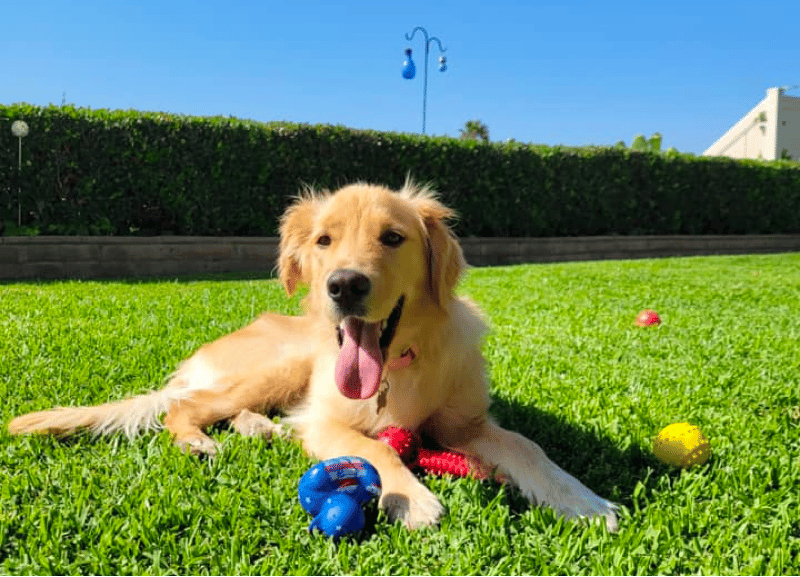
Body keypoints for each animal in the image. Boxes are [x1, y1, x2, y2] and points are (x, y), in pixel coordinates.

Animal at [7, 182, 620, 528]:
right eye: (324, 240)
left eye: (393, 237)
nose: (344, 285)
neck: (400, 365)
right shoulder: (330, 417)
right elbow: (374, 446)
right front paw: (410, 497)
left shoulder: (466, 423)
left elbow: (529, 447)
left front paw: (584, 501)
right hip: (279, 365)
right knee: (184, 408)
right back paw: (200, 442)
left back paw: (265, 430)